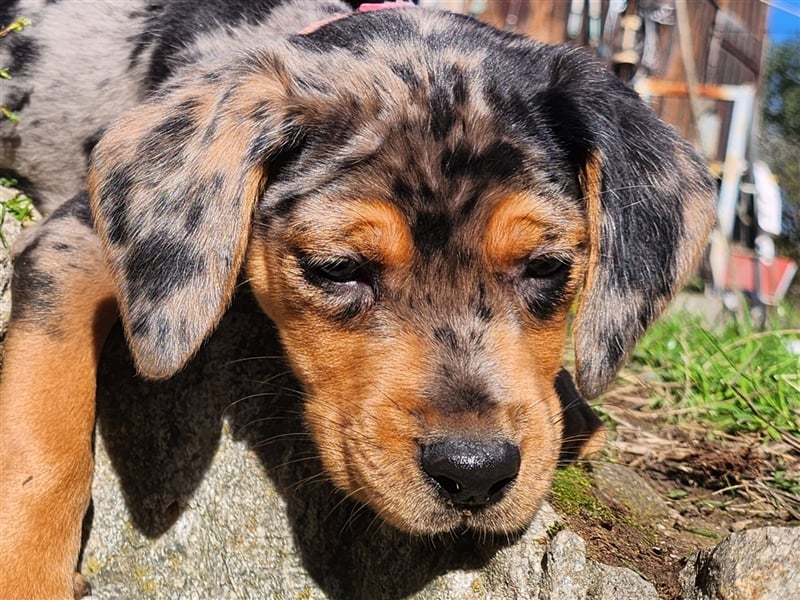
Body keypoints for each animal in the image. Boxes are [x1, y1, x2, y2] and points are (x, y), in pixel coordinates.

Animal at [0, 0, 712, 596]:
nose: (475, 472)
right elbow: (43, 429)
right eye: (338, 269)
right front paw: (28, 573)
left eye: (546, 267)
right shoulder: (70, 241)